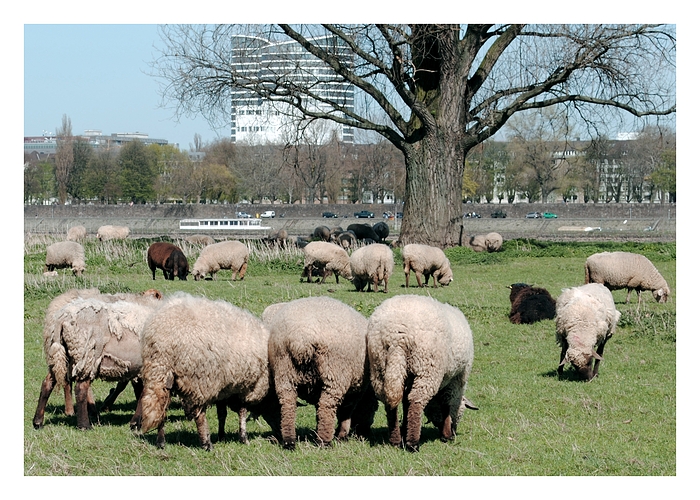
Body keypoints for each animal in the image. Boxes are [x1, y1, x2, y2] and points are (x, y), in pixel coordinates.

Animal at [32, 290, 163, 430]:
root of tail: (62, 318)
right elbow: (141, 393)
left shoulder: (137, 369)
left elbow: (139, 393)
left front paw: (136, 421)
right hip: (86, 355)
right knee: (81, 388)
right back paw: (84, 424)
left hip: (60, 353)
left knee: (48, 383)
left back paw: (38, 421)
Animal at [137, 292, 278, 452]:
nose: (278, 437)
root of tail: (162, 340)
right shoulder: (246, 386)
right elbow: (242, 412)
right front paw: (243, 438)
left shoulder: (225, 387)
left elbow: (222, 413)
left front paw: (222, 436)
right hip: (199, 379)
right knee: (199, 414)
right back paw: (206, 443)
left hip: (160, 374)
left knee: (161, 405)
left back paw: (161, 442)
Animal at [262, 296, 374, 450]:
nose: (365, 431)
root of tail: (301, 339)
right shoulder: (355, 391)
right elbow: (346, 412)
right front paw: (342, 435)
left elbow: (318, 409)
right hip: (334, 374)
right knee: (326, 407)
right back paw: (324, 442)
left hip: (284, 368)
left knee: (288, 405)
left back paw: (289, 441)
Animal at [366, 294, 476, 452]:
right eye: (462, 411)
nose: (454, 431)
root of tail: (396, 336)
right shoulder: (457, 378)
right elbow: (447, 403)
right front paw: (446, 435)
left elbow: (405, 403)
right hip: (427, 367)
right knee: (416, 401)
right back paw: (413, 443)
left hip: (380, 364)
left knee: (390, 401)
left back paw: (395, 440)